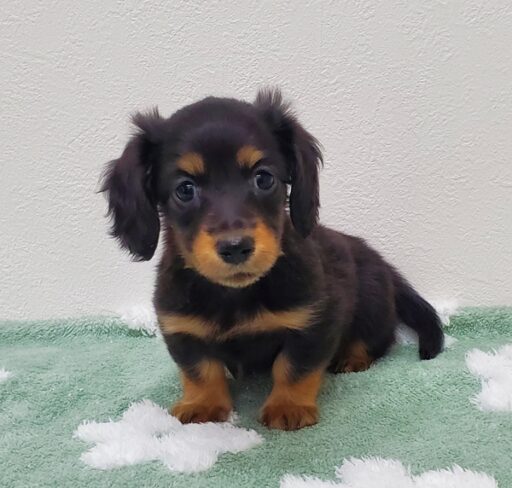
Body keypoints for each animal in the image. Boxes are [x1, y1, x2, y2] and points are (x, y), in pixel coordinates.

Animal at [101, 89, 444, 431]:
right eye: (185, 189)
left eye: (263, 178)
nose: (236, 247)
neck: (234, 295)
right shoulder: (180, 328)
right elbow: (200, 369)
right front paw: (202, 404)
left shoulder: (314, 321)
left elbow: (293, 366)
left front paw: (288, 406)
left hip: (372, 307)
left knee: (379, 339)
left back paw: (353, 357)